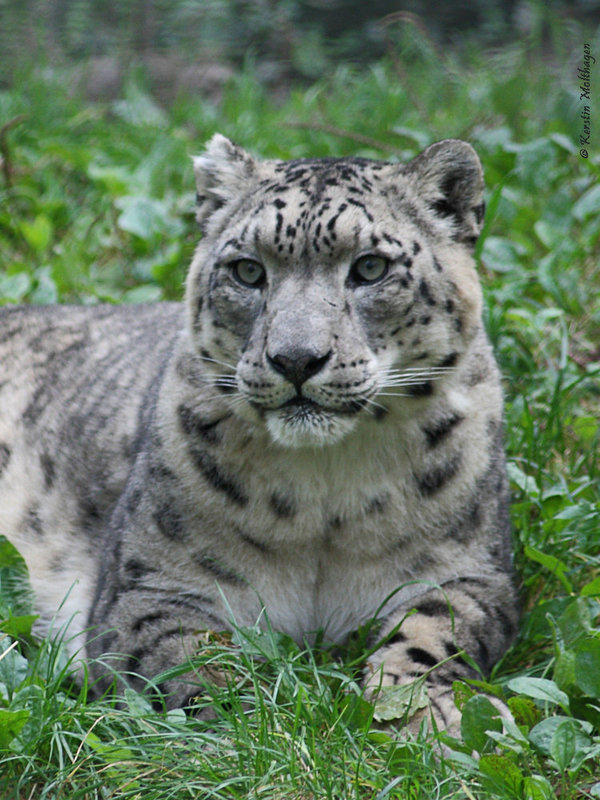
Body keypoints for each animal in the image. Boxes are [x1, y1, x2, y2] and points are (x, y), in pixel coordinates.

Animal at [0, 134, 516, 736]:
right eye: (247, 271)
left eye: (370, 267)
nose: (295, 359)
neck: (326, 498)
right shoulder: (152, 586)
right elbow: (195, 656)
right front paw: (253, 723)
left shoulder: (467, 570)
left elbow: (431, 633)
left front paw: (431, 719)